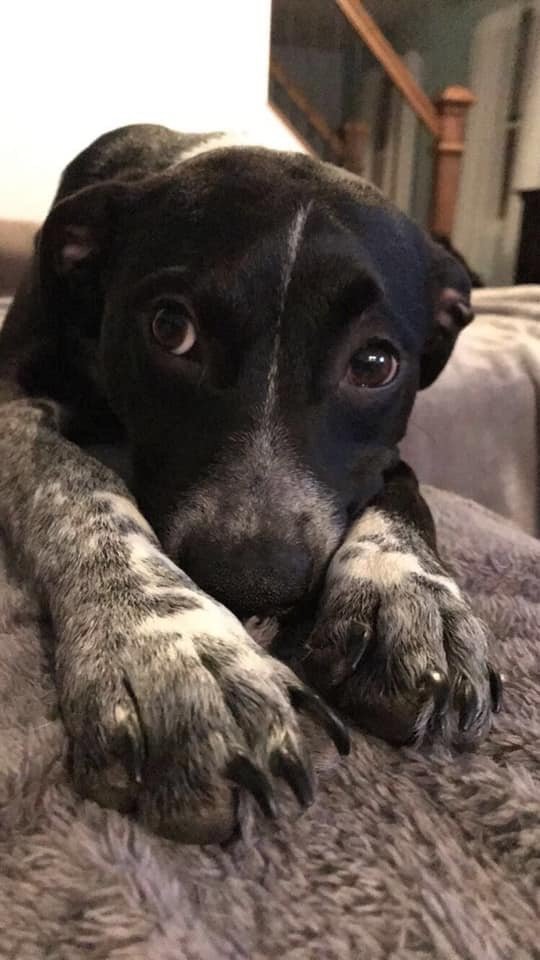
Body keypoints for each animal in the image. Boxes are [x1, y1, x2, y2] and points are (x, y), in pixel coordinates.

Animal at [0, 125, 502, 840]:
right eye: (169, 328)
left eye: (376, 362)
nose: (253, 587)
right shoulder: (13, 402)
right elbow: (73, 476)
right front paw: (169, 642)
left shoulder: (381, 450)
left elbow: (405, 494)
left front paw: (411, 592)